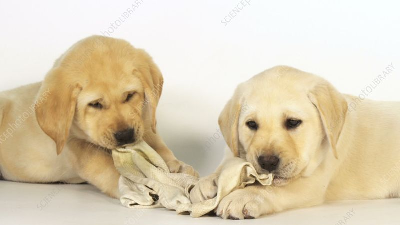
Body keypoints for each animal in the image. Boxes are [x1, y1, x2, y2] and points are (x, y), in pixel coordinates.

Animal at [0, 36, 198, 198]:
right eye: (95, 104)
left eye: (129, 95)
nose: (125, 135)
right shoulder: (74, 144)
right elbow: (103, 162)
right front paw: (133, 185)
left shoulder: (143, 121)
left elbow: (155, 141)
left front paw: (175, 165)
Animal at [190, 65, 400, 220]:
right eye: (251, 124)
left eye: (292, 122)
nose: (267, 162)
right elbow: (224, 167)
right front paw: (206, 183)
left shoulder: (312, 183)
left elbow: (271, 189)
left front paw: (244, 196)